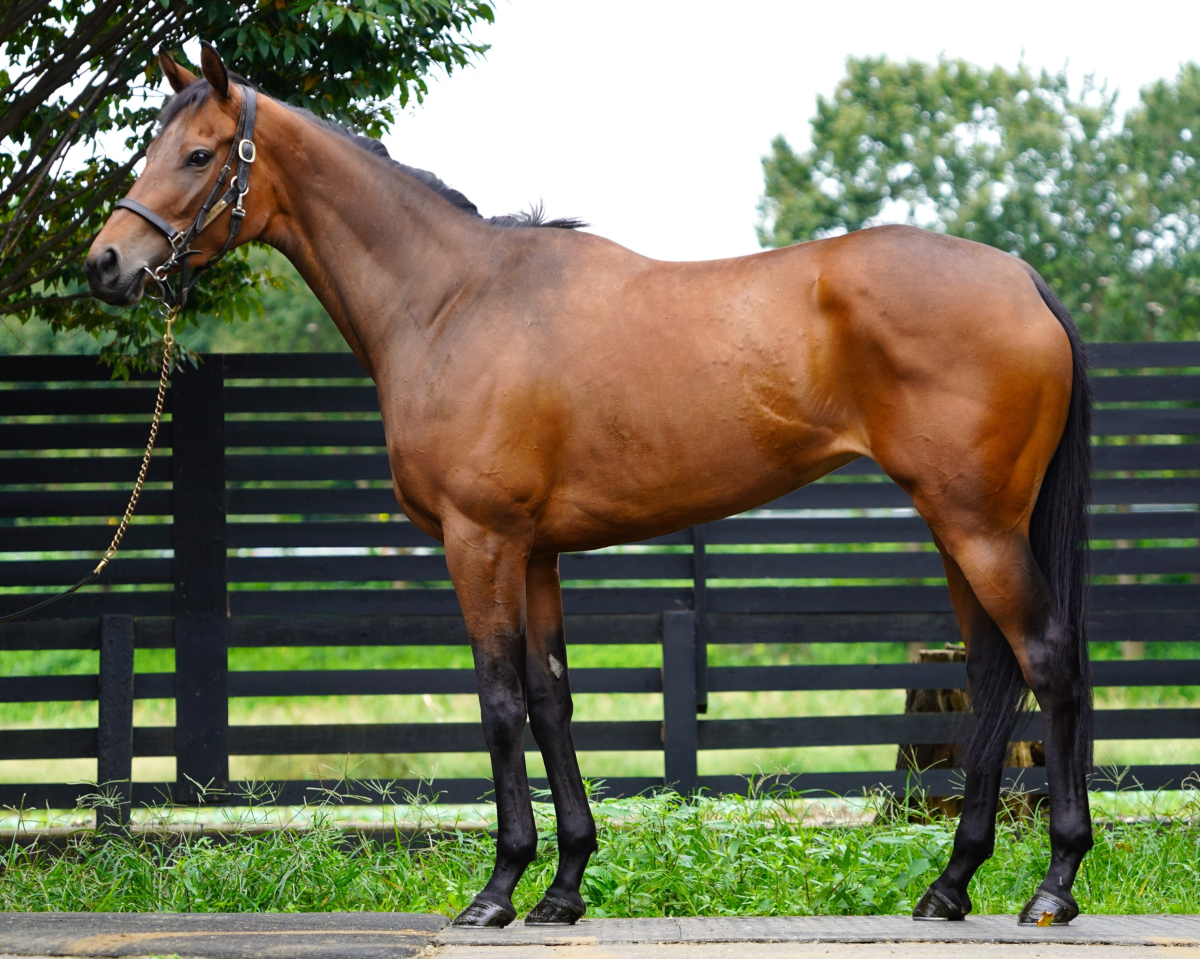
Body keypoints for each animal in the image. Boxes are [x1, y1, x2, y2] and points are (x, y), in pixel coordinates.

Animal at [86, 42, 1094, 928]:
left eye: (201, 154)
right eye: (149, 149)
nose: (106, 264)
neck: (453, 300)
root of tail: (1022, 278)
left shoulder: (480, 540)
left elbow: (497, 701)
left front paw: (498, 889)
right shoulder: (535, 554)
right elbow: (551, 699)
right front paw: (563, 886)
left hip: (979, 527)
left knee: (1049, 660)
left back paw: (1052, 886)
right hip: (957, 526)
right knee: (994, 675)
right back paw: (951, 884)